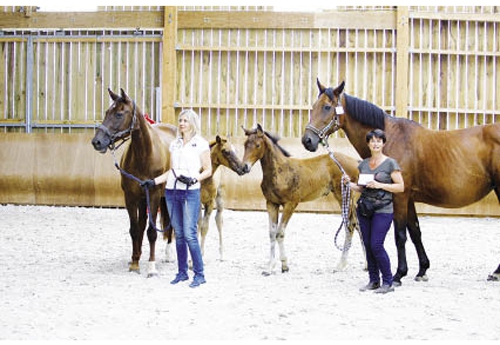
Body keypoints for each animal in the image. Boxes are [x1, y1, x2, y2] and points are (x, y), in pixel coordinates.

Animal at [92, 88, 176, 276]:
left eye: (119, 114)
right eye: (107, 112)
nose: (96, 142)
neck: (144, 155)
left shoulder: (153, 195)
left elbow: (152, 232)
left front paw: (151, 267)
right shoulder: (130, 197)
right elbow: (135, 229)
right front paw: (135, 262)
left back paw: (169, 254)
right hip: (143, 199)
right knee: (142, 224)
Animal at [240, 123, 362, 274]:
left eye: (257, 145)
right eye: (245, 144)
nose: (244, 167)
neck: (280, 171)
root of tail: (356, 162)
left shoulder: (290, 204)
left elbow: (280, 233)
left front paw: (284, 265)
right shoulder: (271, 204)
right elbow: (272, 233)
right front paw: (269, 266)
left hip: (344, 197)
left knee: (350, 225)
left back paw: (341, 264)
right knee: (358, 225)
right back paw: (366, 265)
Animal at [300, 79, 500, 284]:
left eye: (327, 107)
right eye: (313, 106)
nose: (307, 140)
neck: (391, 138)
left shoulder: (400, 197)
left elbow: (400, 235)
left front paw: (399, 274)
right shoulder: (408, 198)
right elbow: (415, 232)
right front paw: (422, 270)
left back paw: (496, 272)